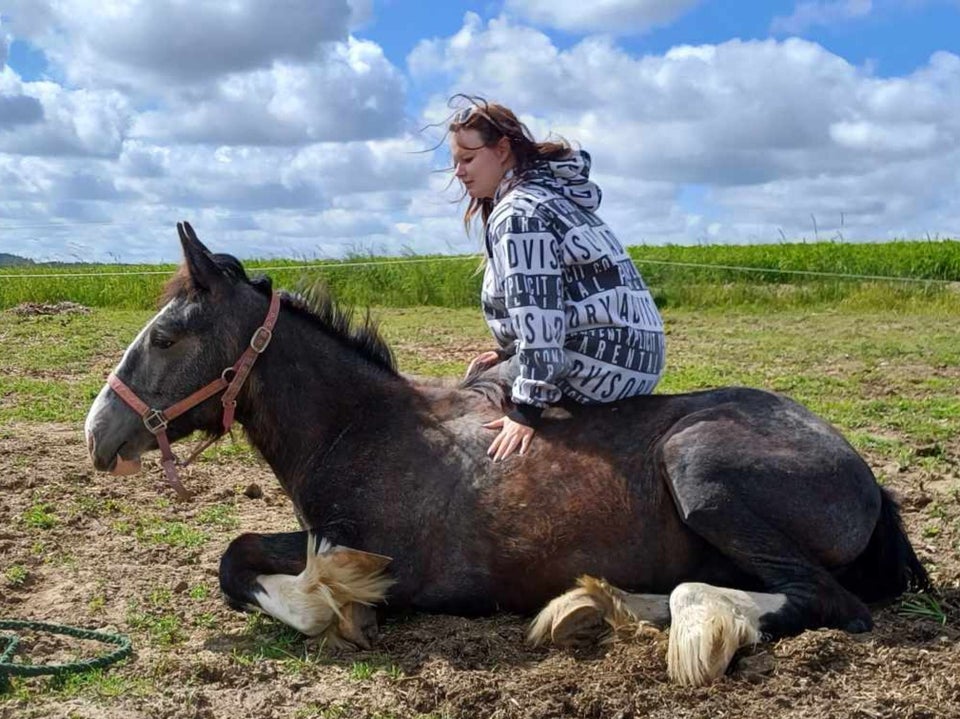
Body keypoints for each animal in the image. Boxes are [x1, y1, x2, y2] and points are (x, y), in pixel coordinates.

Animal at [84, 224, 928, 688]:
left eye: (167, 337)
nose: (97, 434)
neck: (365, 426)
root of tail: (866, 478)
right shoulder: (320, 530)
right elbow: (237, 555)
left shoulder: (402, 565)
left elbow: (294, 581)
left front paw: (335, 608)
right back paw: (597, 605)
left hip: (698, 466)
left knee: (829, 602)